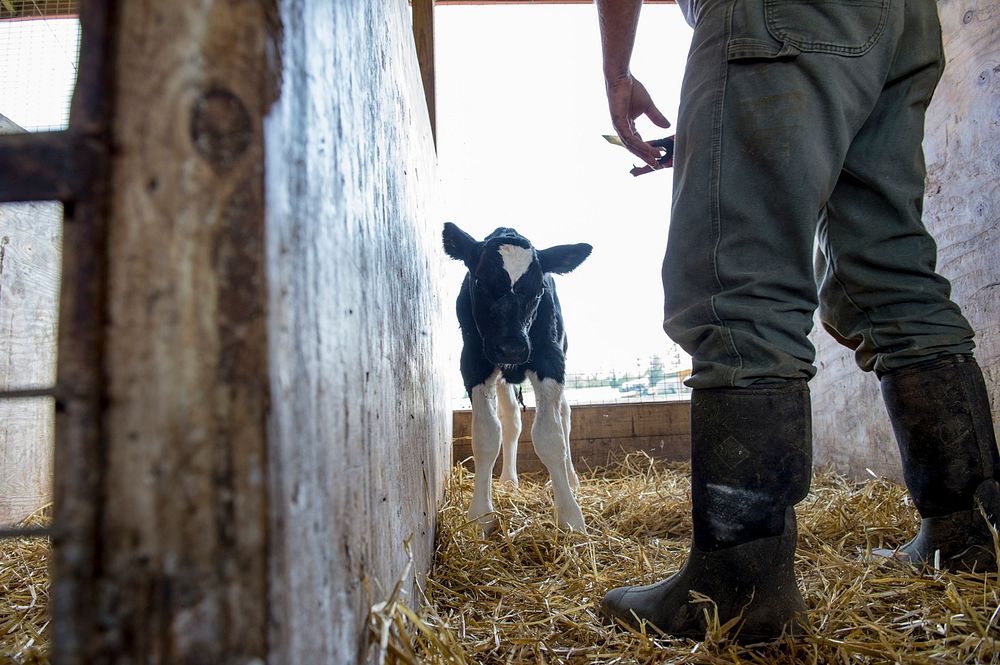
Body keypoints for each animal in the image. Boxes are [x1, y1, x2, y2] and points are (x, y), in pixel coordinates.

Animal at [442, 223, 588, 536]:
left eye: (539, 289)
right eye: (479, 281)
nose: (511, 348)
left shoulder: (550, 358)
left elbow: (550, 437)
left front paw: (571, 518)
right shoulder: (473, 361)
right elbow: (487, 436)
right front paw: (480, 515)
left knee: (564, 414)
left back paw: (571, 478)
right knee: (511, 419)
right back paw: (509, 480)